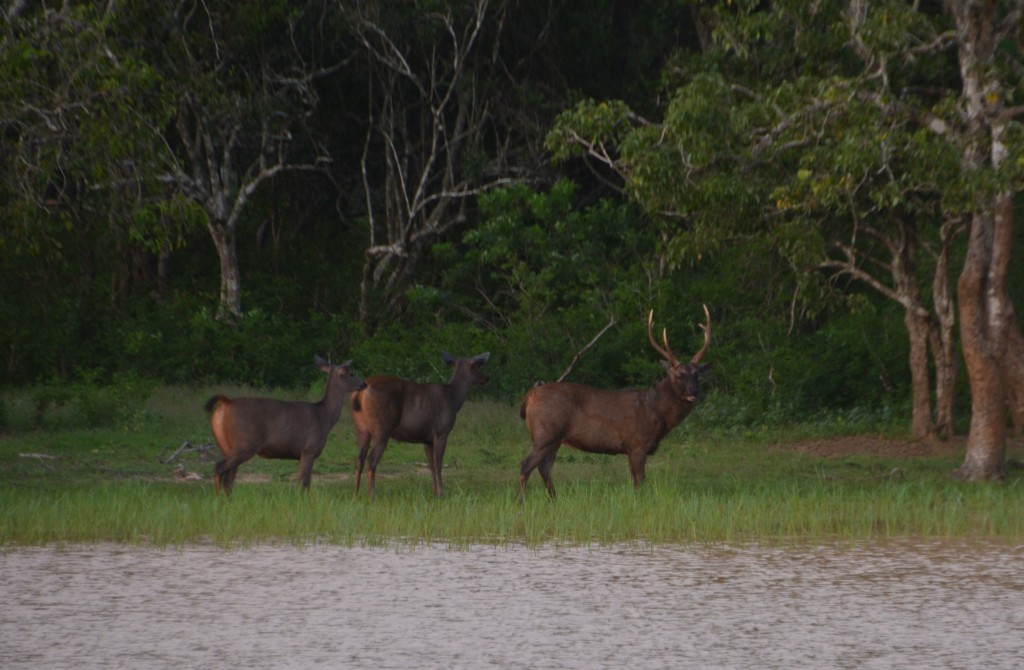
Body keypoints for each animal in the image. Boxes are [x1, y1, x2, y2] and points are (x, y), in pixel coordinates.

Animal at [204, 356, 366, 495]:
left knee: (229, 478)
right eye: (351, 373)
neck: (324, 418)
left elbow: (307, 483)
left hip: (226, 446)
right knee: (219, 468)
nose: (363, 383)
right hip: (245, 443)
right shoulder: (309, 449)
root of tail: (226, 403)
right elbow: (302, 483)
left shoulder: (303, 455)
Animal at [350, 351, 491, 498]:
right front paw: (441, 493)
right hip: (382, 427)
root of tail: (360, 393)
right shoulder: (441, 431)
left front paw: (435, 493)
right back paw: (372, 496)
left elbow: (431, 465)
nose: (487, 377)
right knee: (371, 459)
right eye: (478, 367)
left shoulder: (427, 439)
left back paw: (355, 495)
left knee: (359, 459)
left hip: (361, 428)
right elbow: (438, 463)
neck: (453, 398)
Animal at [518, 306, 711, 502]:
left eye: (697, 375)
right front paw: (637, 502)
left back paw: (554, 500)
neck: (658, 412)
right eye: (679, 375)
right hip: (545, 433)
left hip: (555, 438)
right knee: (526, 464)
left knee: (544, 467)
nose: (694, 392)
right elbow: (638, 481)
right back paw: (520, 502)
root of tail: (530, 397)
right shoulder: (637, 444)